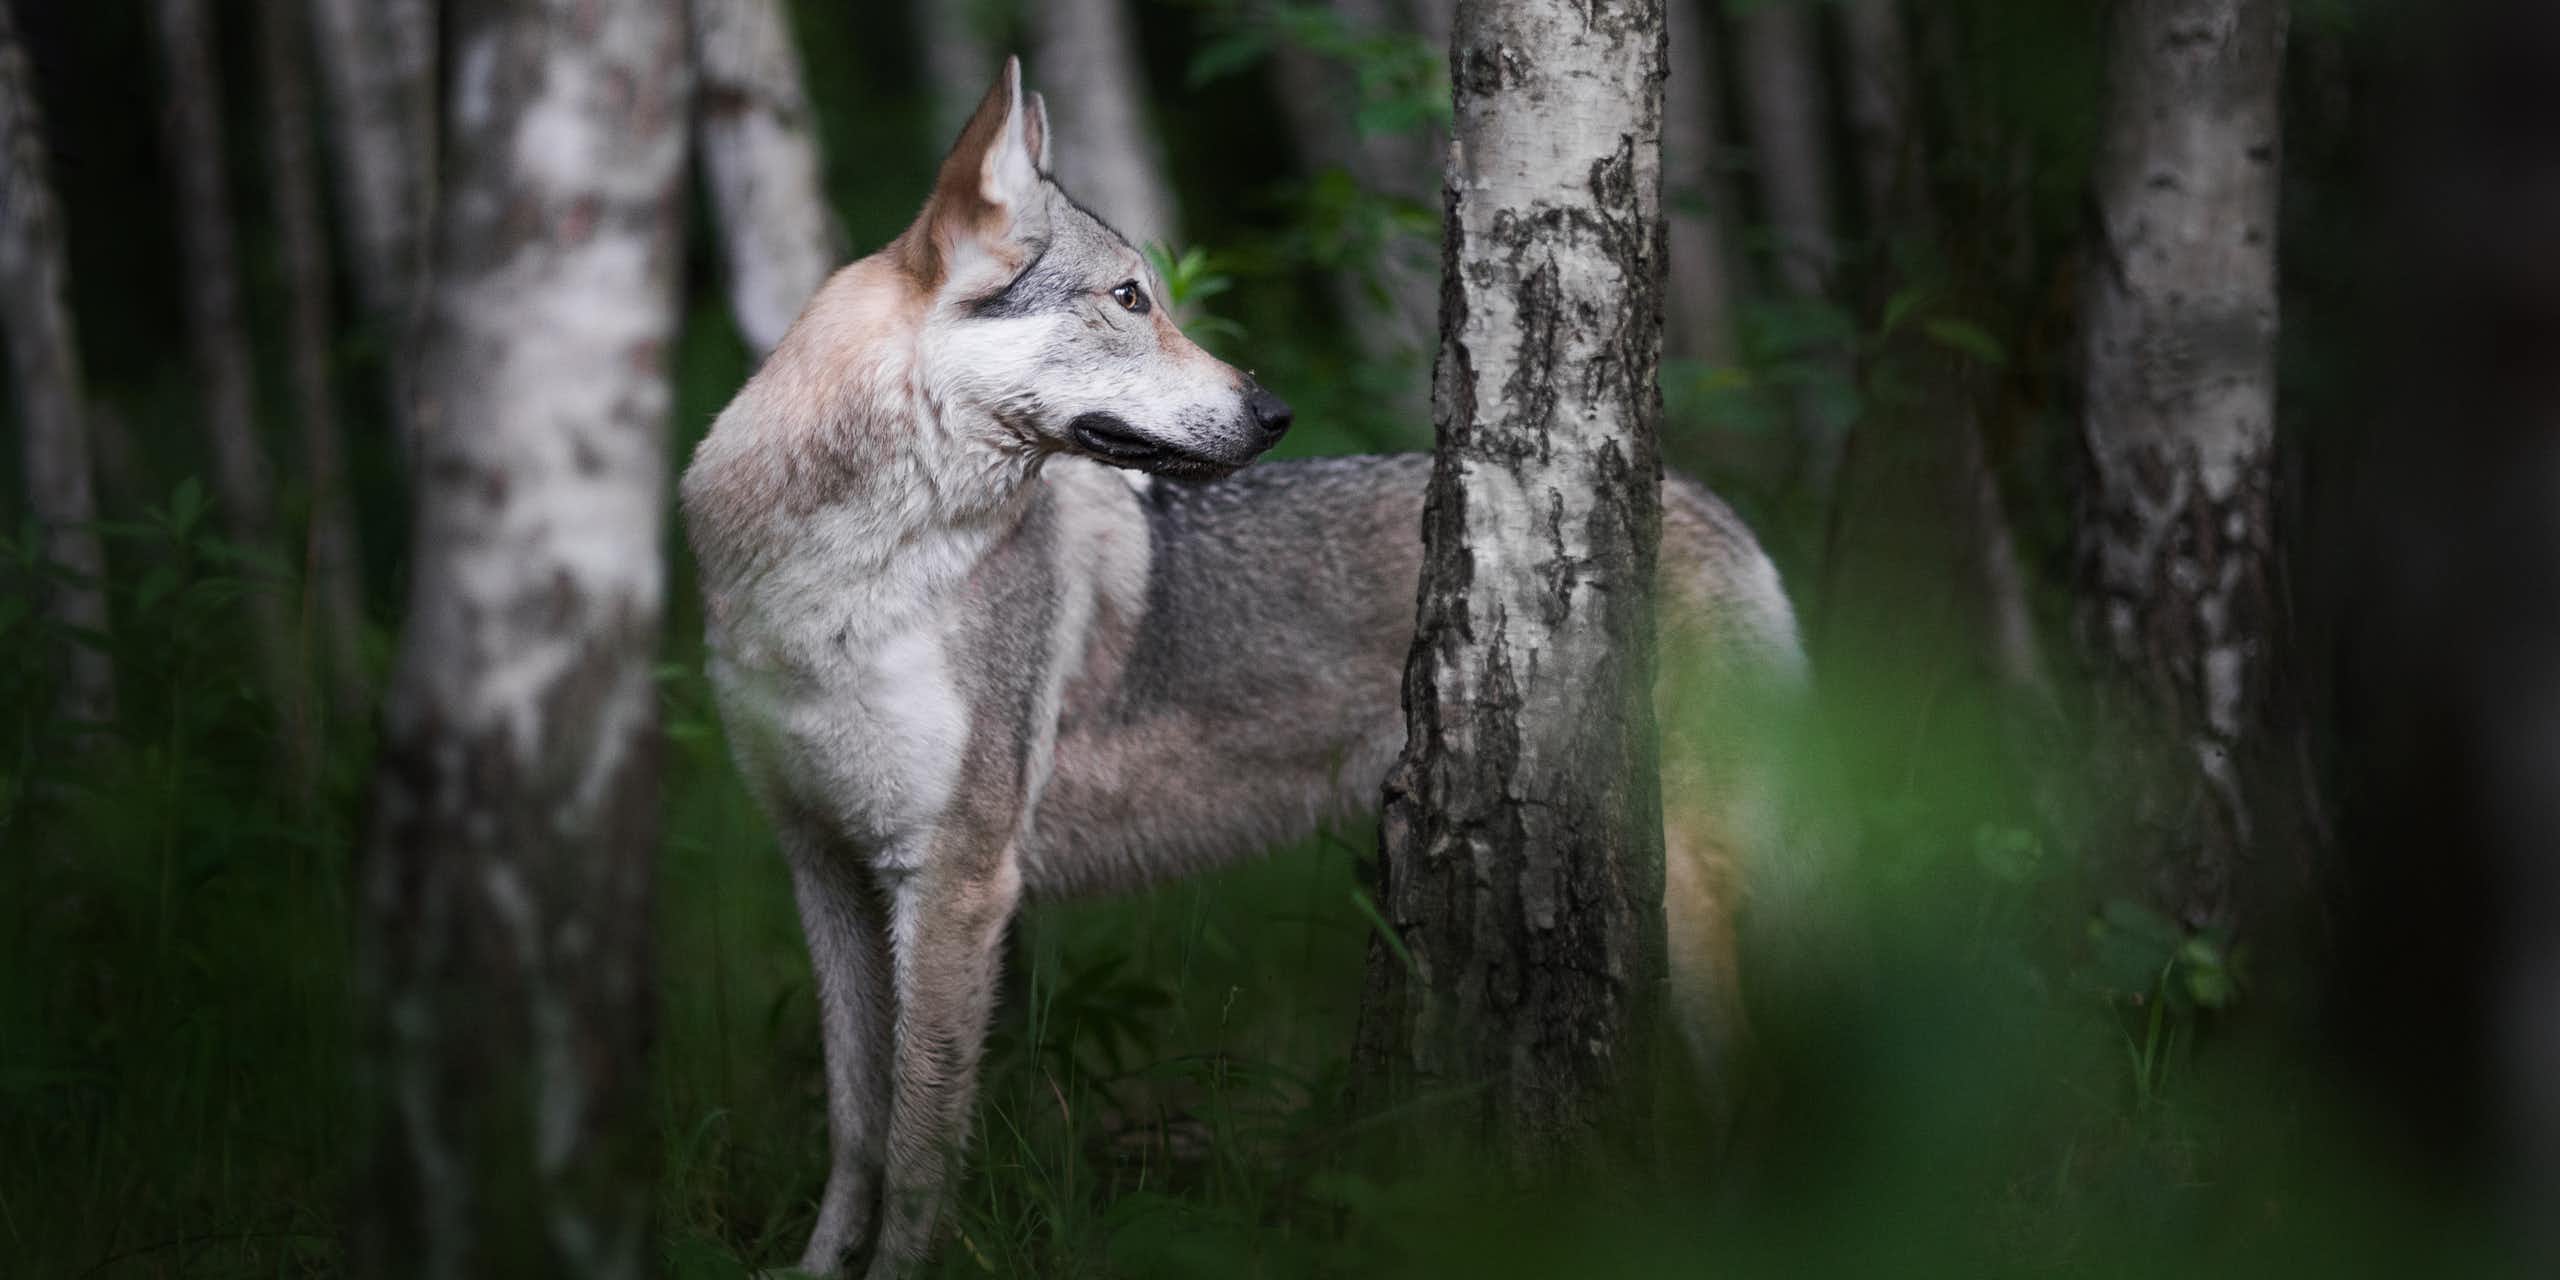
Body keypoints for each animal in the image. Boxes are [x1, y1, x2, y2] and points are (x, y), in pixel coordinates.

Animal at [680, 57, 1805, 1278]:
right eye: (1131, 299)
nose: (1274, 412)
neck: (836, 575)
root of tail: (1707, 506)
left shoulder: (956, 882)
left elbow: (920, 1149)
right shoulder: (827, 868)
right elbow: (857, 1127)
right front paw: (815, 1267)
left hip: (1691, 899)